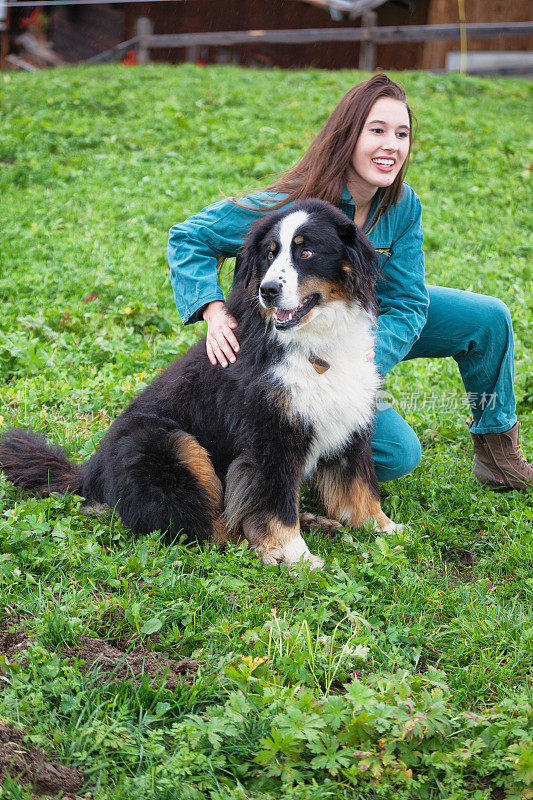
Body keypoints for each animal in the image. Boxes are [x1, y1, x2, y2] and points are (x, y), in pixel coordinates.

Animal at [0, 203, 400, 572]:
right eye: (270, 254)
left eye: (306, 252)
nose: (268, 290)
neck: (316, 343)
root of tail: (89, 473)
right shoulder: (269, 438)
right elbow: (274, 505)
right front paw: (294, 555)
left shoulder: (348, 421)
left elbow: (359, 485)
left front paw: (385, 529)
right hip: (168, 444)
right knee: (210, 528)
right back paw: (270, 546)